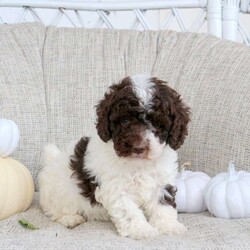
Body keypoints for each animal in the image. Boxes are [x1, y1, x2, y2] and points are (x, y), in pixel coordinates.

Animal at [39, 74, 190, 240]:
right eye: (125, 120)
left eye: (157, 124)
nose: (138, 147)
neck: (139, 164)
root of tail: (52, 158)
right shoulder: (116, 189)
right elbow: (130, 211)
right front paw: (141, 230)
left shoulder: (162, 183)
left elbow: (163, 206)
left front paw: (169, 226)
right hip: (56, 194)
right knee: (54, 210)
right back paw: (71, 219)